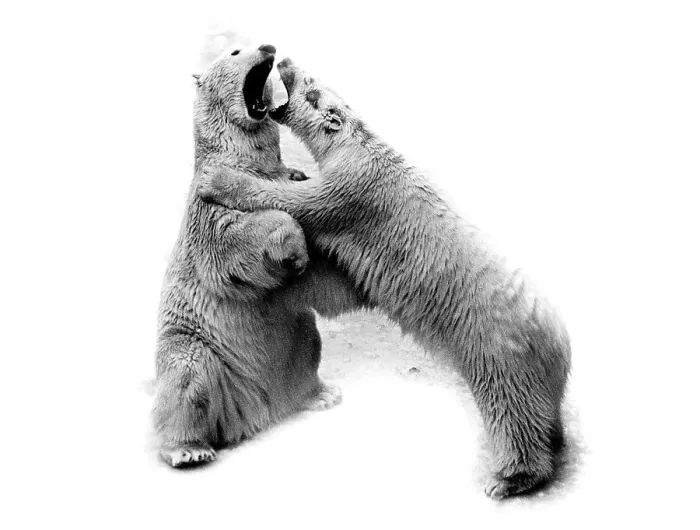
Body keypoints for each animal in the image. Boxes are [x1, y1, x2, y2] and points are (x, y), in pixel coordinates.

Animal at [154, 46, 367, 467]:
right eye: (235, 50)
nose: (268, 48)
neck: (246, 160)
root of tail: (253, 409)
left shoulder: (286, 177)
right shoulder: (207, 207)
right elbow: (236, 240)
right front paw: (294, 248)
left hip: (294, 337)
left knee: (308, 346)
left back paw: (320, 394)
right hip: (197, 345)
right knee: (188, 378)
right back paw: (188, 449)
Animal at [197, 58, 572, 499]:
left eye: (308, 82)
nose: (285, 60)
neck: (359, 142)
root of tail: (558, 340)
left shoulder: (352, 189)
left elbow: (299, 202)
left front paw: (218, 179)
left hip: (497, 349)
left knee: (511, 408)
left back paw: (509, 478)